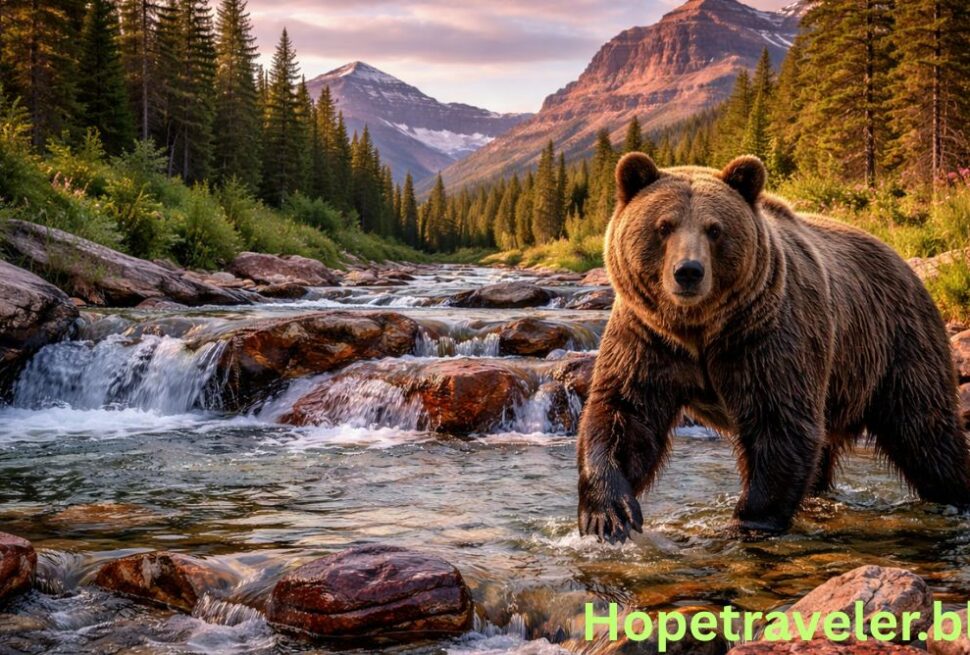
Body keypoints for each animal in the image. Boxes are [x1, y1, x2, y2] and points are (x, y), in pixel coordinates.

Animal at [577, 152, 970, 542]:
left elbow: (781, 422)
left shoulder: (766, 337)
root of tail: (903, 262)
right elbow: (625, 413)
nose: (688, 271)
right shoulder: (648, 337)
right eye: (664, 226)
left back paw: (955, 492)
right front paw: (608, 514)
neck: (700, 329)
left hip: (895, 344)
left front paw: (749, 520)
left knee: (925, 433)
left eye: (714, 229)